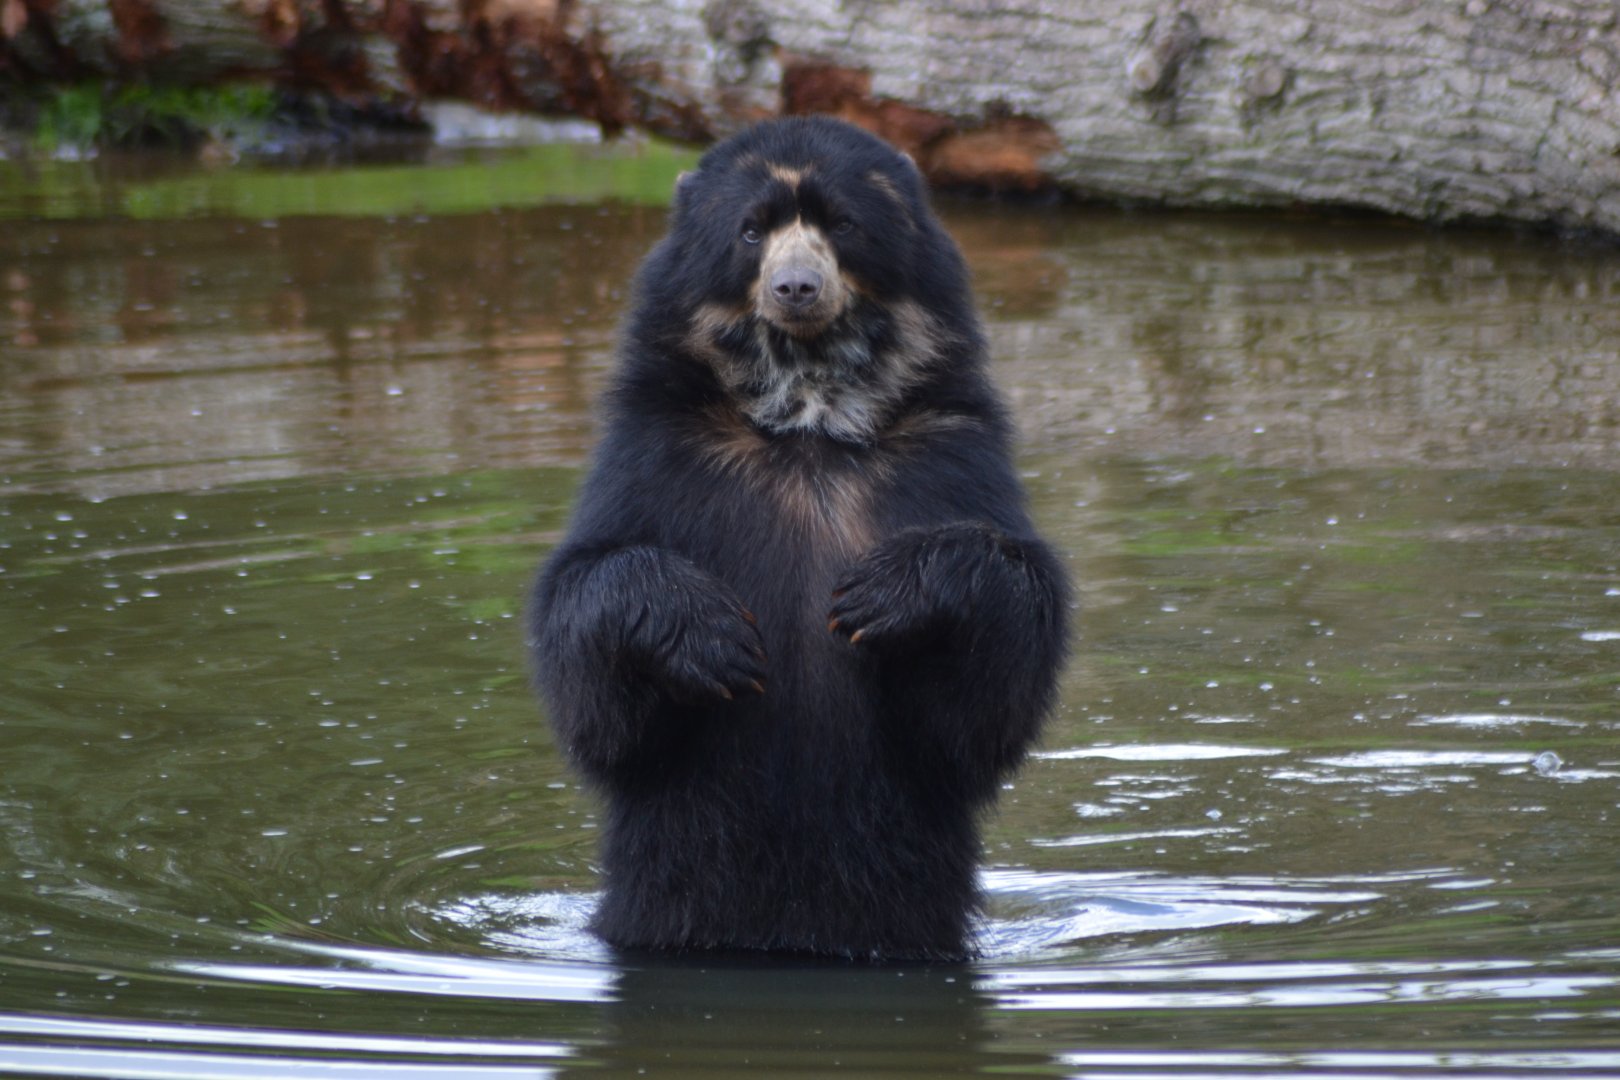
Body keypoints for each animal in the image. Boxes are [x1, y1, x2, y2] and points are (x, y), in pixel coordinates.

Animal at [529, 116, 1070, 962]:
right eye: (752, 231)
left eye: (841, 225)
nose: (796, 289)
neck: (809, 421)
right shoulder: (659, 454)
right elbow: (593, 668)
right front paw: (713, 638)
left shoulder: (947, 455)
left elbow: (986, 697)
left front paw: (880, 597)